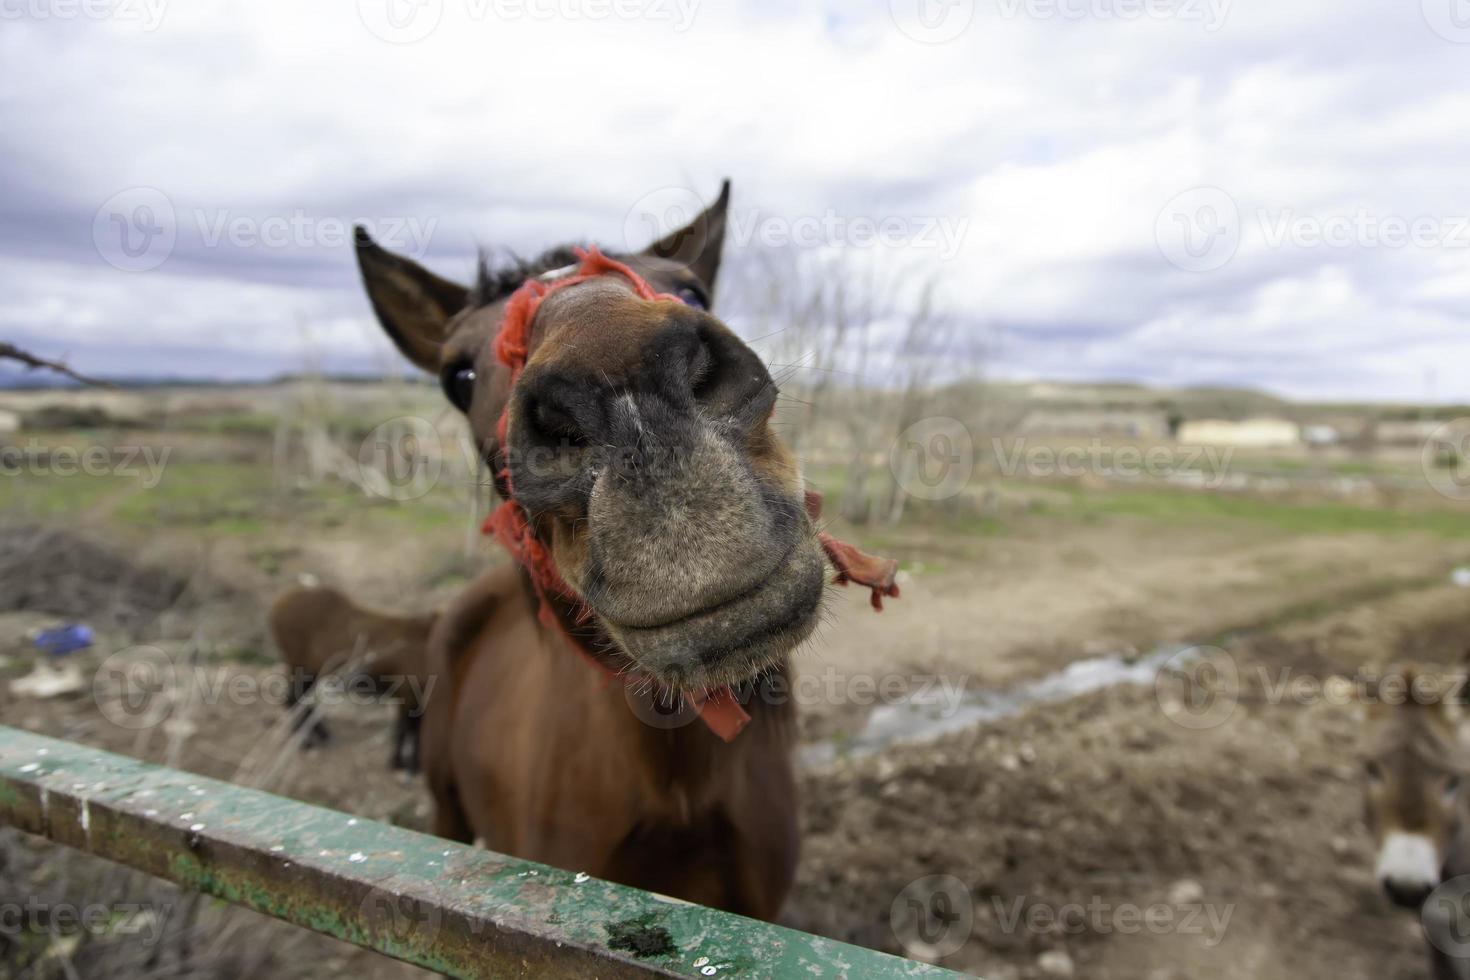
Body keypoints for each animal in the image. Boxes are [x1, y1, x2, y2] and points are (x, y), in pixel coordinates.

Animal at [267, 581, 435, 775]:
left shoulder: (419, 696)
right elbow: (406, 729)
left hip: (310, 670)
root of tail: (279, 603)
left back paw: (319, 734)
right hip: (298, 665)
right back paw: (306, 741)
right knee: (293, 698)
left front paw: (411, 764)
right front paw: (401, 763)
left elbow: (412, 730)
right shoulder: (408, 692)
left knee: (298, 699)